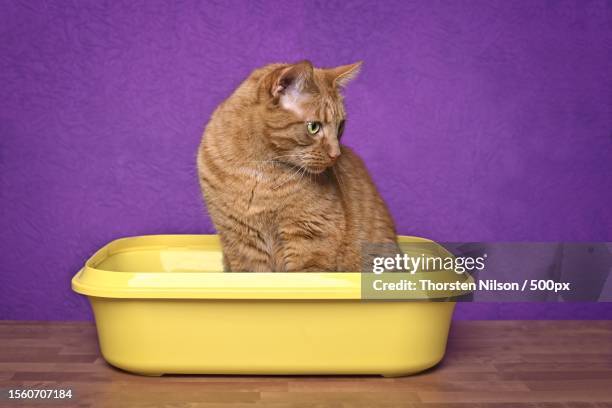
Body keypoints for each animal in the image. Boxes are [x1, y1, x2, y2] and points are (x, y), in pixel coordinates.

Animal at [196, 59, 396, 270]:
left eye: (340, 126)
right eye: (313, 127)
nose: (336, 154)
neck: (261, 170)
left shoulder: (311, 238)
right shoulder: (241, 243)